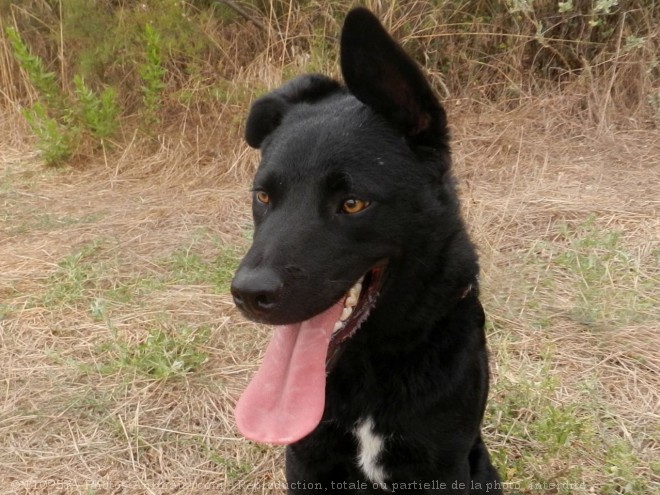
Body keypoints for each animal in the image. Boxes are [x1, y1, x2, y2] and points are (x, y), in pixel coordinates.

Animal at [231, 7, 500, 495]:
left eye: (353, 203)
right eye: (263, 196)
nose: (248, 295)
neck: (368, 365)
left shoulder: (443, 466)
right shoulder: (306, 460)